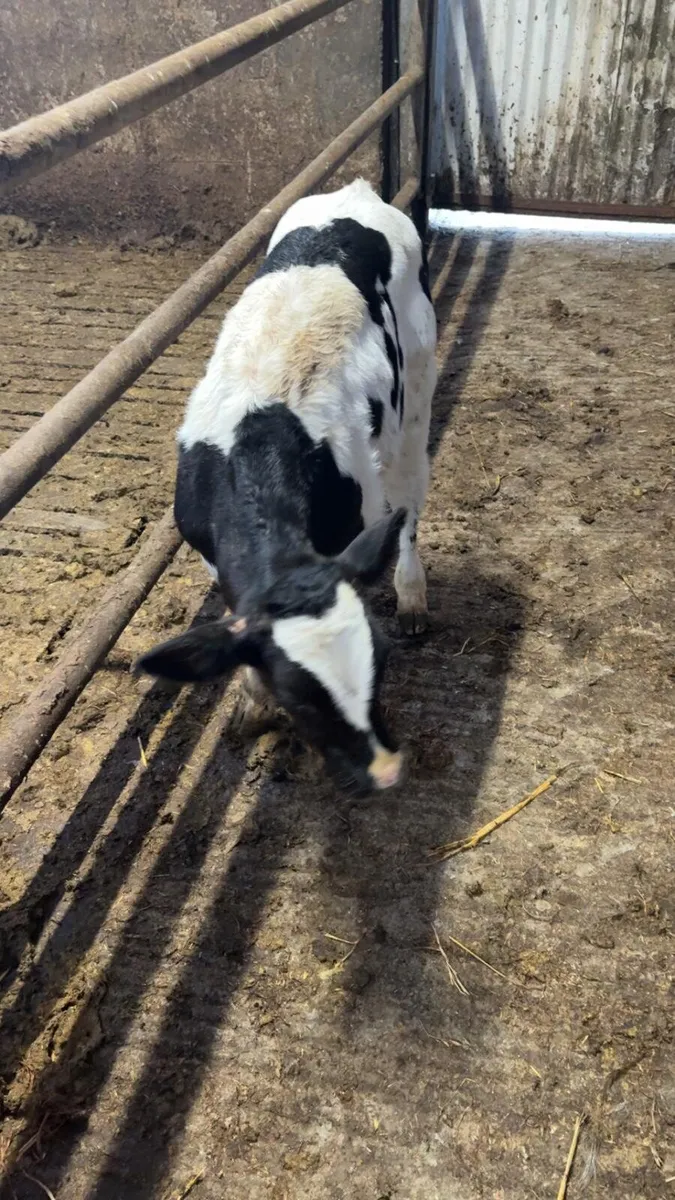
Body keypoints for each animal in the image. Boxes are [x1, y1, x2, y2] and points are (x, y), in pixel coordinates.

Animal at [136, 179, 437, 794]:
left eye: (381, 661)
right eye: (299, 699)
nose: (387, 769)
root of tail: (359, 192)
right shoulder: (211, 553)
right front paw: (252, 706)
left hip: (416, 391)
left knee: (410, 501)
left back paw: (413, 595)